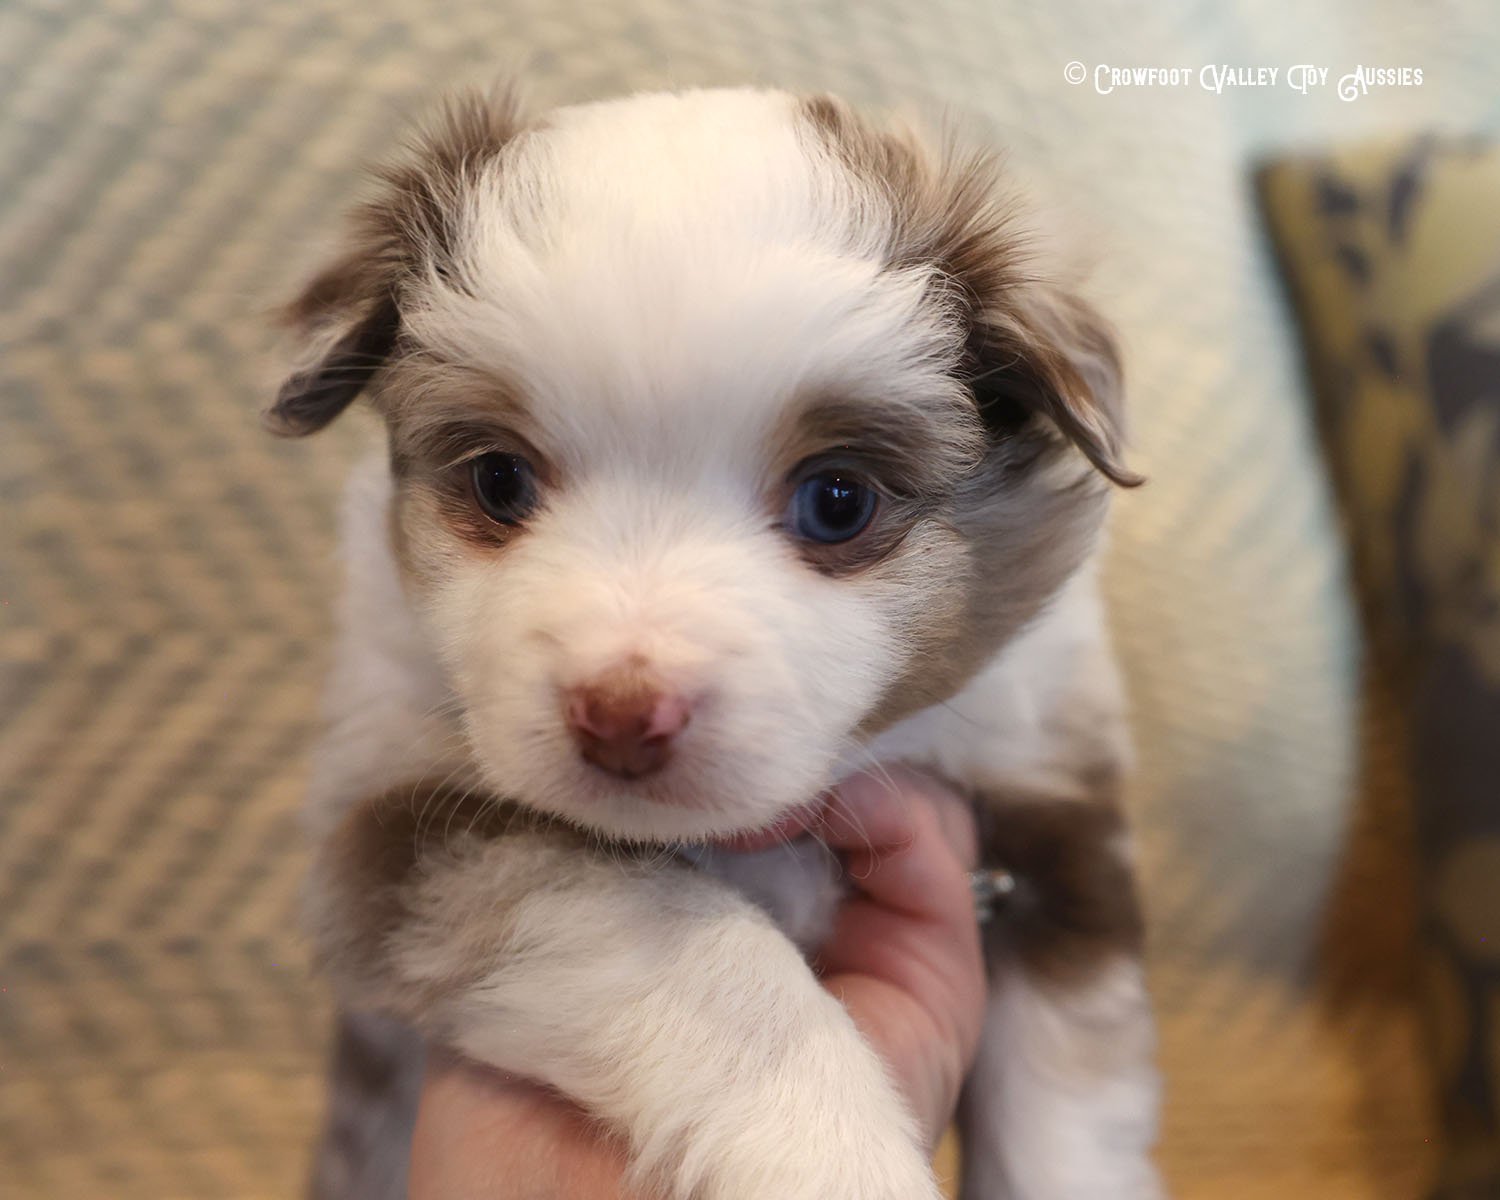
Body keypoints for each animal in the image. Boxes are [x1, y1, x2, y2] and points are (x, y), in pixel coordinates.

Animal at [270, 86, 1158, 1200]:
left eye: (837, 500)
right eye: (499, 480)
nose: (620, 719)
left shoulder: (1056, 815)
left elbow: (1066, 1117)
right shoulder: (391, 821)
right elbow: (681, 939)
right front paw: (828, 1153)